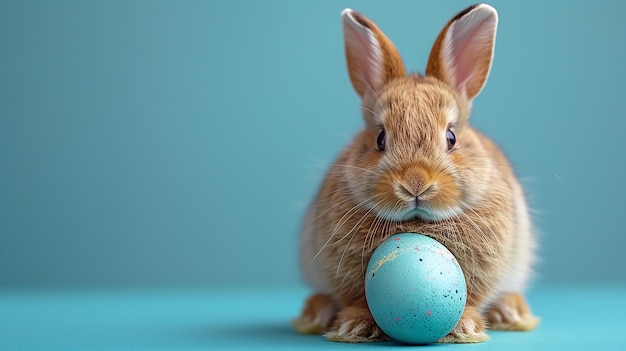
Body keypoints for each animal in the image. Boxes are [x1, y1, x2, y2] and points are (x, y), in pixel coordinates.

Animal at [290, 2, 540, 344]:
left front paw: (465, 327)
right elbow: (356, 297)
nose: (415, 184)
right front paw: (353, 326)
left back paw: (510, 311)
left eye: (451, 137)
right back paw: (315, 313)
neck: (416, 224)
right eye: (380, 138)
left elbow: (473, 295)